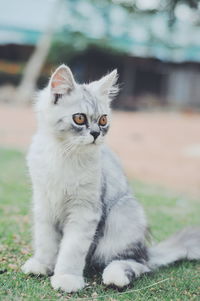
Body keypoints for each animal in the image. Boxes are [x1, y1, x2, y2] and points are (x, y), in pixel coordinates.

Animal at [21, 64, 200, 292]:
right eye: (80, 118)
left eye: (103, 120)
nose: (96, 134)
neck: (62, 154)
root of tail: (147, 250)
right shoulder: (44, 204)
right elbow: (46, 242)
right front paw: (42, 265)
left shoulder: (84, 210)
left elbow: (71, 250)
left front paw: (66, 278)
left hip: (122, 215)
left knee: (137, 264)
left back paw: (115, 277)